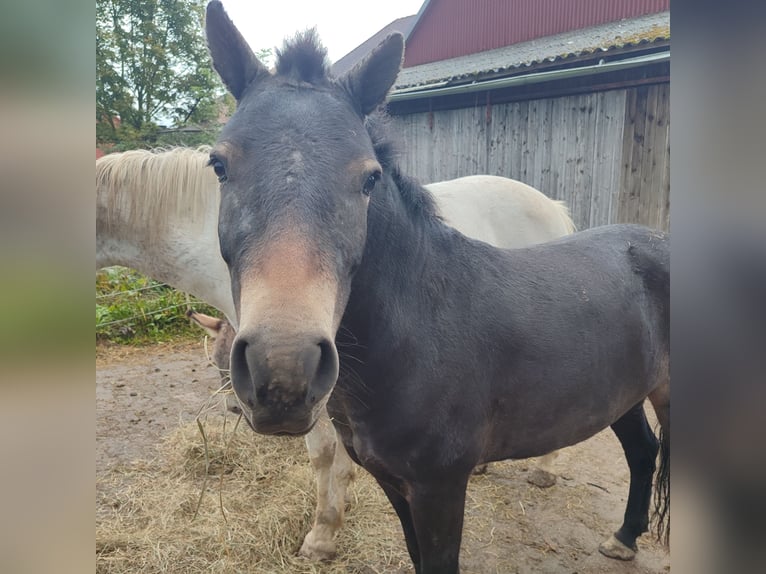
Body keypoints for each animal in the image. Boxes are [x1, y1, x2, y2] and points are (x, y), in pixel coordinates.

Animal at [96, 147, 576, 564]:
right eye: (217, 367)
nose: (236, 408)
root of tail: (554, 207)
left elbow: (329, 454)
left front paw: (323, 535)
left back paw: (545, 469)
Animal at [207, 3, 668, 572]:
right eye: (219, 165)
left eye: (369, 178)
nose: (283, 373)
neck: (419, 331)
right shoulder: (393, 481)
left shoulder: (440, 487)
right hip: (625, 395)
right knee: (643, 450)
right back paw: (624, 537)